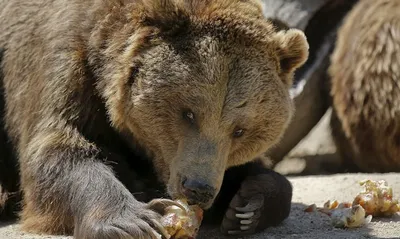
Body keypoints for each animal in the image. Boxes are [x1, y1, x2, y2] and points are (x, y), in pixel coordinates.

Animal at [0, 0, 310, 237]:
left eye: (240, 130)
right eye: (189, 113)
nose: (198, 189)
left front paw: (248, 204)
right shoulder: (65, 63)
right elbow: (58, 148)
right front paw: (134, 221)